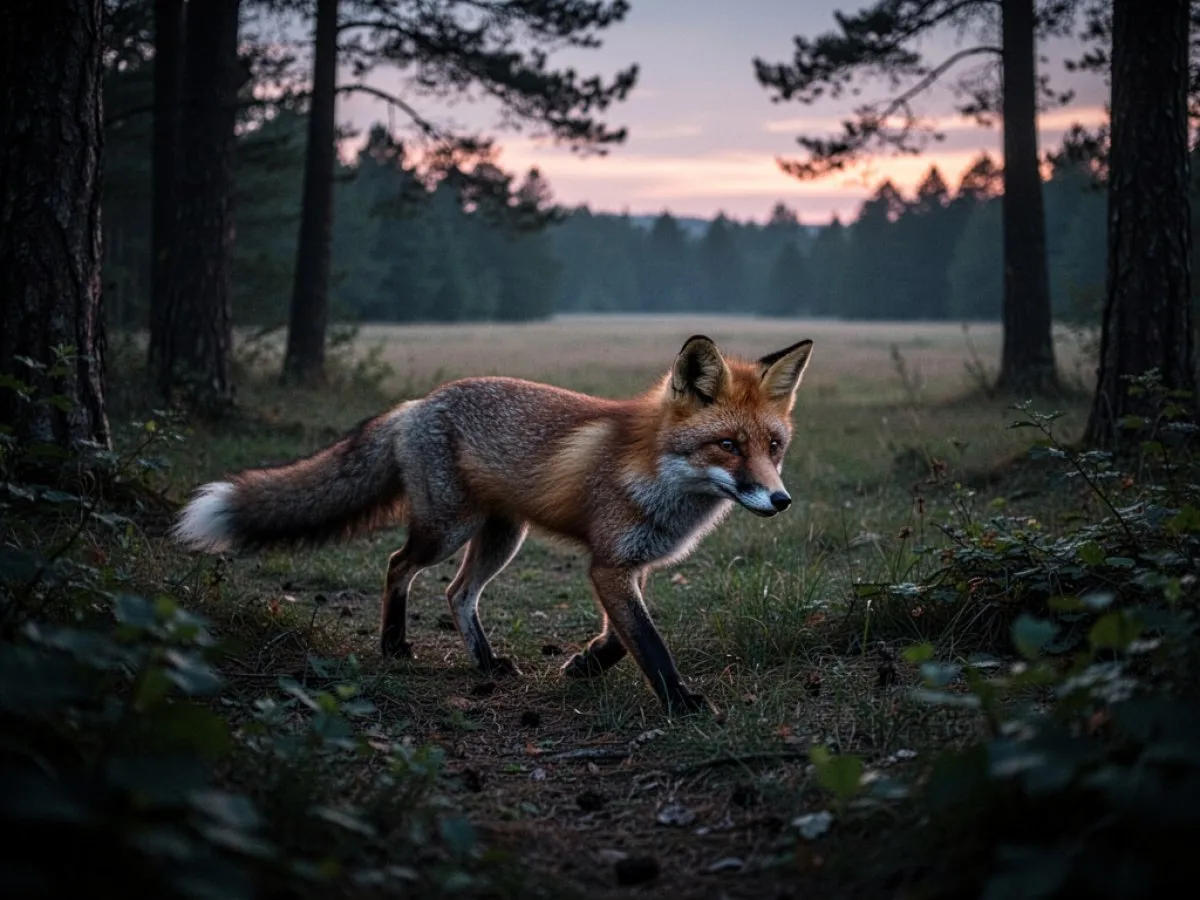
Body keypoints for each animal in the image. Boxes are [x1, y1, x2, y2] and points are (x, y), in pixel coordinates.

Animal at [173, 334, 813, 715]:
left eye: (773, 447)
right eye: (728, 446)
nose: (781, 500)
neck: (658, 475)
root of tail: (418, 403)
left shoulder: (632, 565)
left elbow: (618, 637)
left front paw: (583, 665)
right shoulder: (609, 564)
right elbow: (649, 643)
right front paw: (679, 704)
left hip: (502, 536)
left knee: (458, 593)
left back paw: (485, 661)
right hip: (448, 530)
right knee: (398, 565)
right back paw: (393, 643)